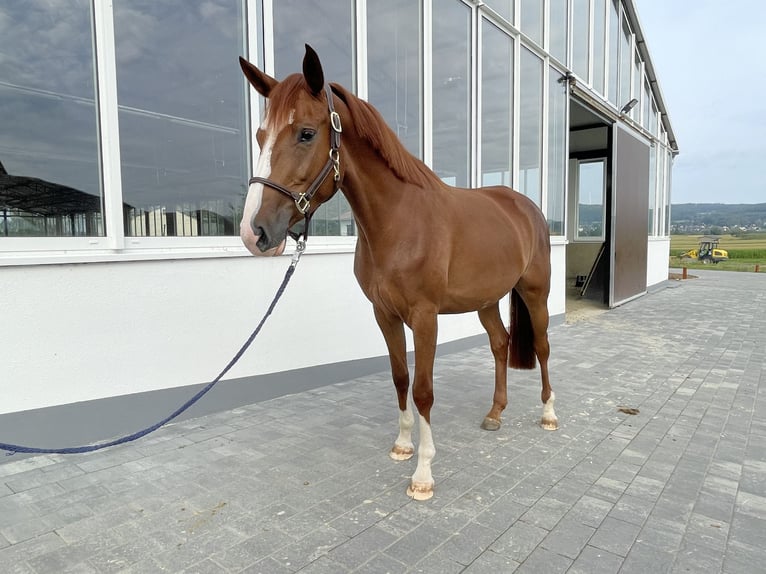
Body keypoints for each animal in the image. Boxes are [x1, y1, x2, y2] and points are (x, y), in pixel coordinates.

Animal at [240, 47, 560, 502]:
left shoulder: (424, 318)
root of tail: (526, 207)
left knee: (545, 347)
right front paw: (403, 446)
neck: (399, 221)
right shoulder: (385, 314)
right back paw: (495, 413)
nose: (254, 231)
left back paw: (549, 413)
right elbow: (400, 378)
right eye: (260, 135)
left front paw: (423, 474)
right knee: (500, 344)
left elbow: (423, 389)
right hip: (486, 300)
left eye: (305, 133)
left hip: (535, 293)